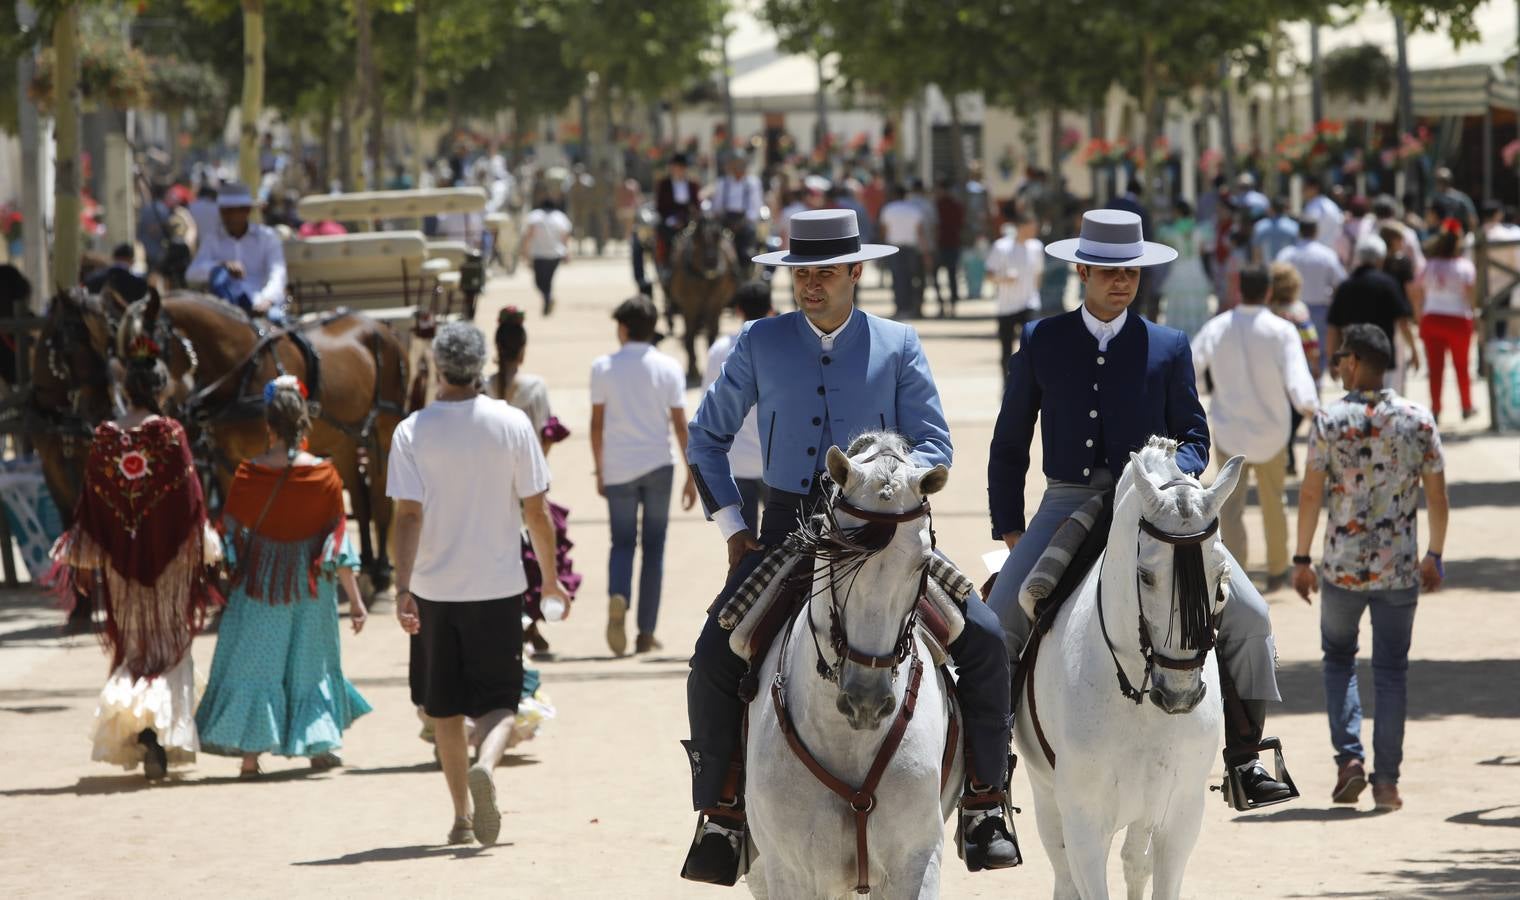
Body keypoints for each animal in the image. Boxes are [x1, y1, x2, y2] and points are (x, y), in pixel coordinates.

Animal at [35, 291, 413, 592]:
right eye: (123, 351)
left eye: (155, 342)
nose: (142, 387)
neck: (242, 369)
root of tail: (382, 327)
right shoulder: (225, 459)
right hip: (342, 440)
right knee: (360, 500)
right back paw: (364, 565)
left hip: (383, 428)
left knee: (379, 499)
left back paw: (381, 572)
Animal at [741, 431, 954, 893]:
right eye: (835, 552)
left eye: (923, 562)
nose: (866, 702)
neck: (849, 742)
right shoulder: (791, 872)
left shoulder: (917, 860)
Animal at [1015, 440, 1240, 893]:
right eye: (1146, 576)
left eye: (1220, 577)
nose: (1179, 695)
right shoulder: (1084, 824)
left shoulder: (1180, 817)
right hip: (1048, 798)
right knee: (1064, 875)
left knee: (1134, 862)